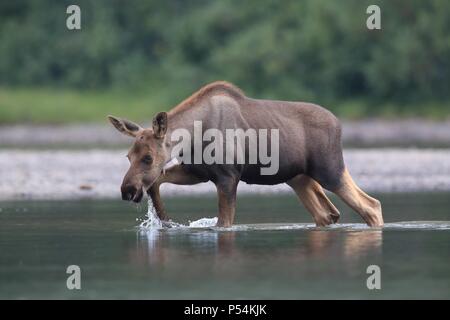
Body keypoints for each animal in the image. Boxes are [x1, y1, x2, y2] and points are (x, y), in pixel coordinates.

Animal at [108, 81, 384, 229]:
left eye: (148, 157)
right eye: (128, 156)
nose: (127, 190)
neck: (193, 136)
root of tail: (339, 124)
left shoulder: (228, 176)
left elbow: (224, 223)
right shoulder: (197, 171)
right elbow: (157, 182)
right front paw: (164, 220)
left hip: (330, 170)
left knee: (370, 205)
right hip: (298, 178)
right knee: (326, 214)